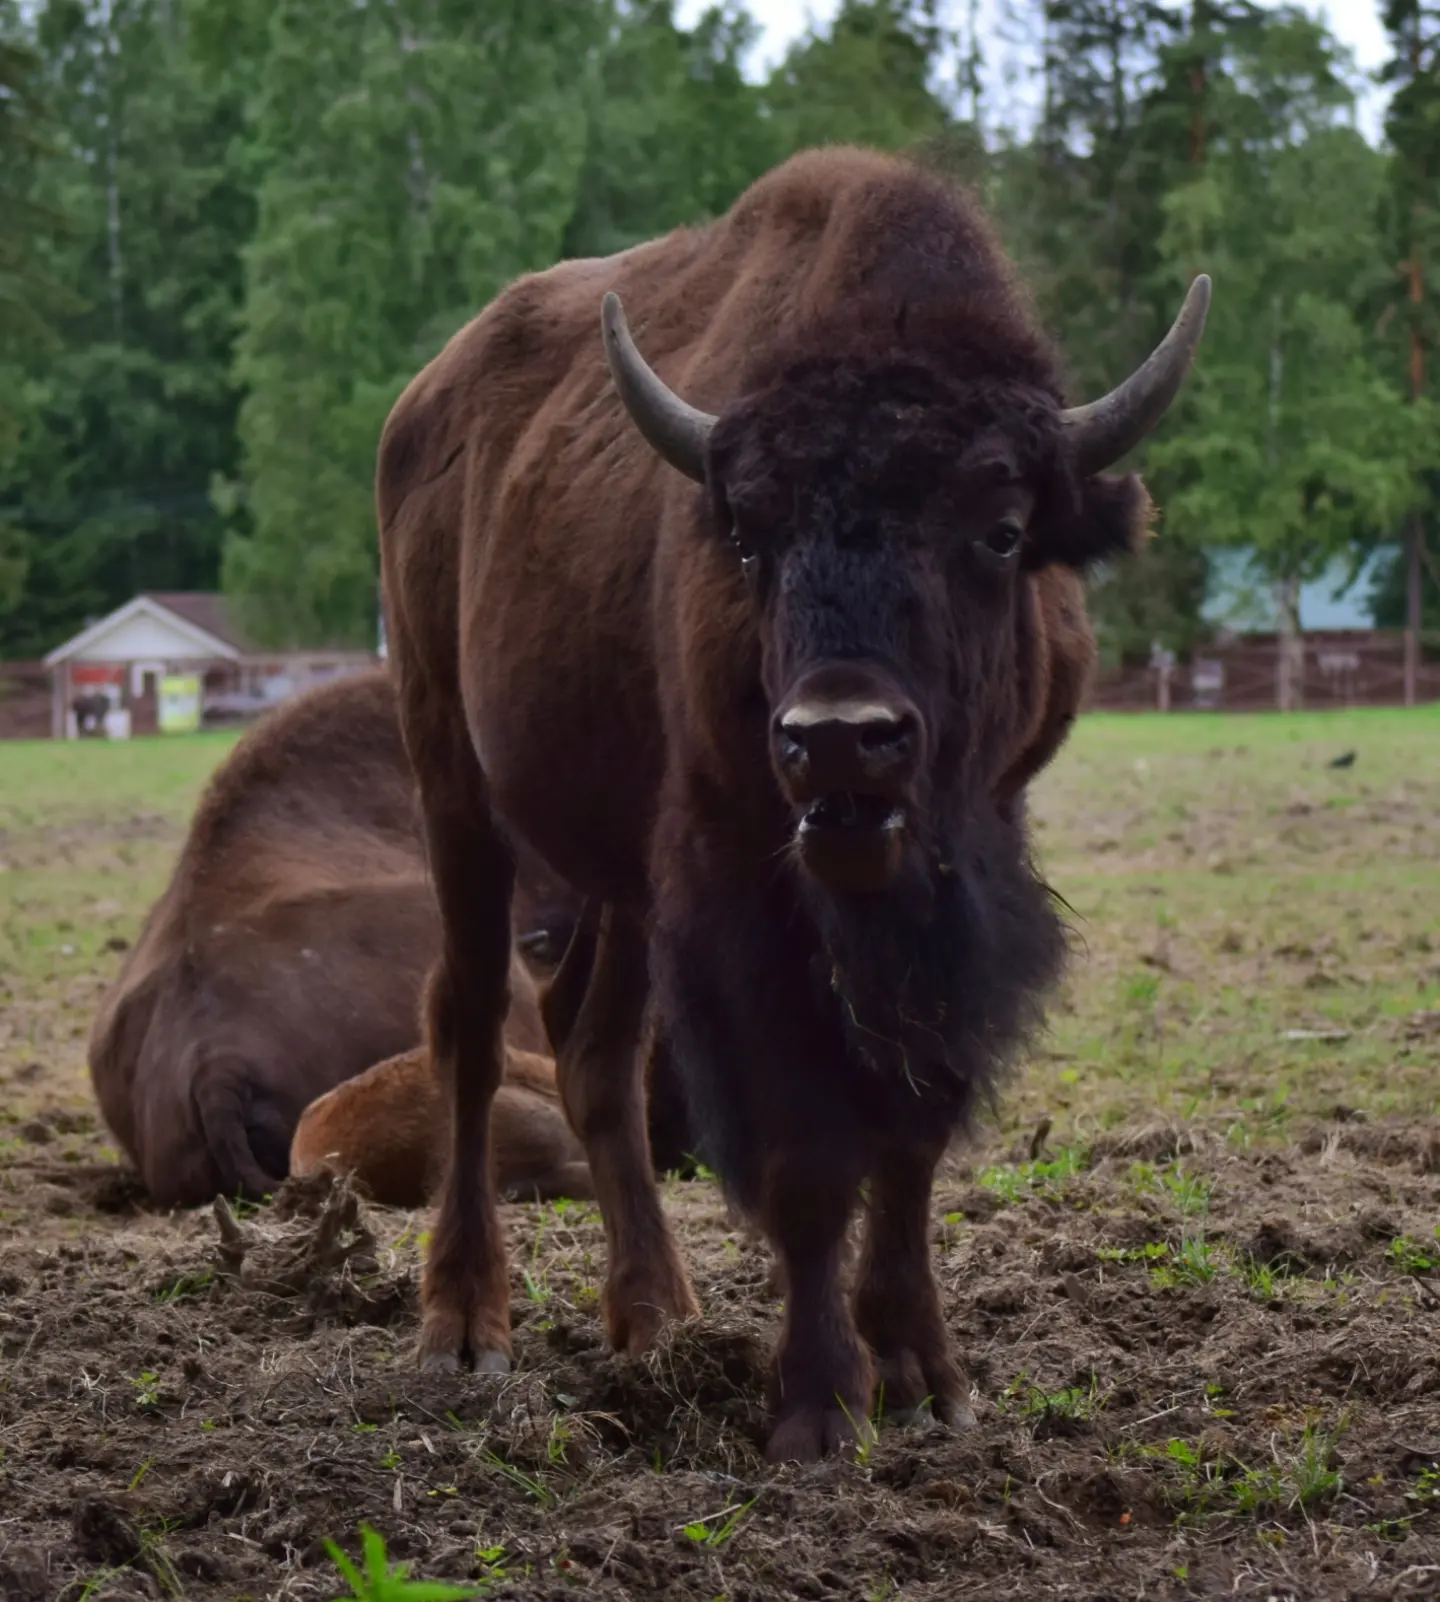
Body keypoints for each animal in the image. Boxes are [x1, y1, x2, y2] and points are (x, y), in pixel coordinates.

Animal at [378, 144, 1210, 1461]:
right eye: (751, 537)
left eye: (1001, 528)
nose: (838, 742)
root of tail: (422, 408)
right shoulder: (736, 880)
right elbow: (811, 1154)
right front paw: (820, 1407)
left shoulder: (955, 884)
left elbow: (913, 1126)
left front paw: (924, 1374)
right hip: (449, 771)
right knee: (464, 1021)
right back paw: (465, 1327)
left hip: (621, 871)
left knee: (591, 1046)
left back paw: (656, 1314)